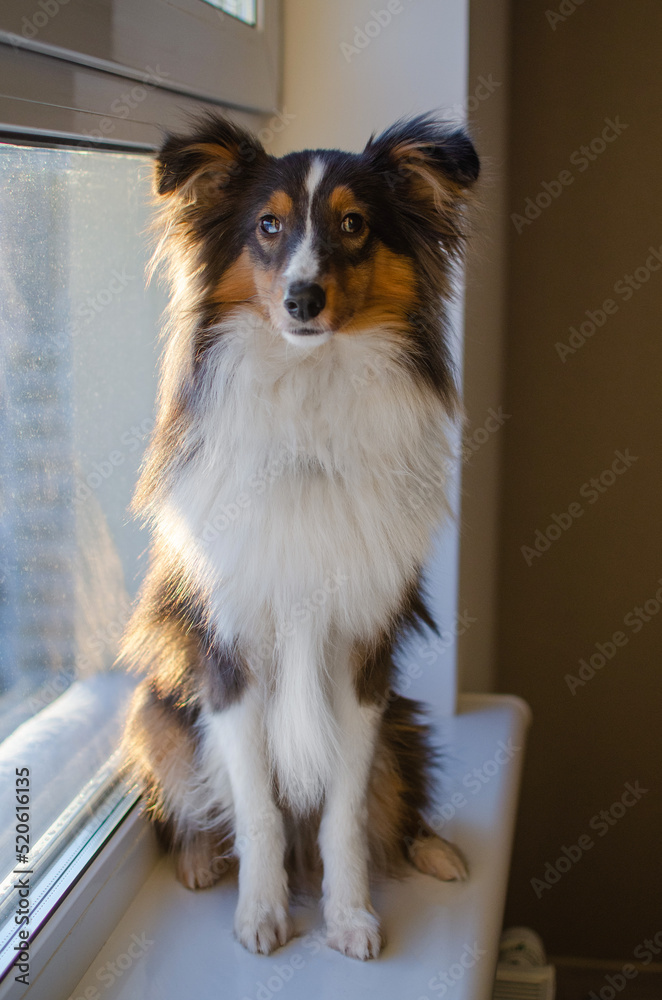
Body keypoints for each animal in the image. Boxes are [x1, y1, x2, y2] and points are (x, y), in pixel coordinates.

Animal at [119, 111, 480, 960]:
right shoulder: (230, 656)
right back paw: (197, 859)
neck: (310, 390)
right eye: (268, 225)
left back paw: (436, 850)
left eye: (354, 225)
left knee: (396, 803)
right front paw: (262, 912)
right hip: (155, 710)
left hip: (402, 721)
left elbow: (344, 816)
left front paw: (349, 916)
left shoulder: (359, 659)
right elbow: (257, 809)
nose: (302, 298)